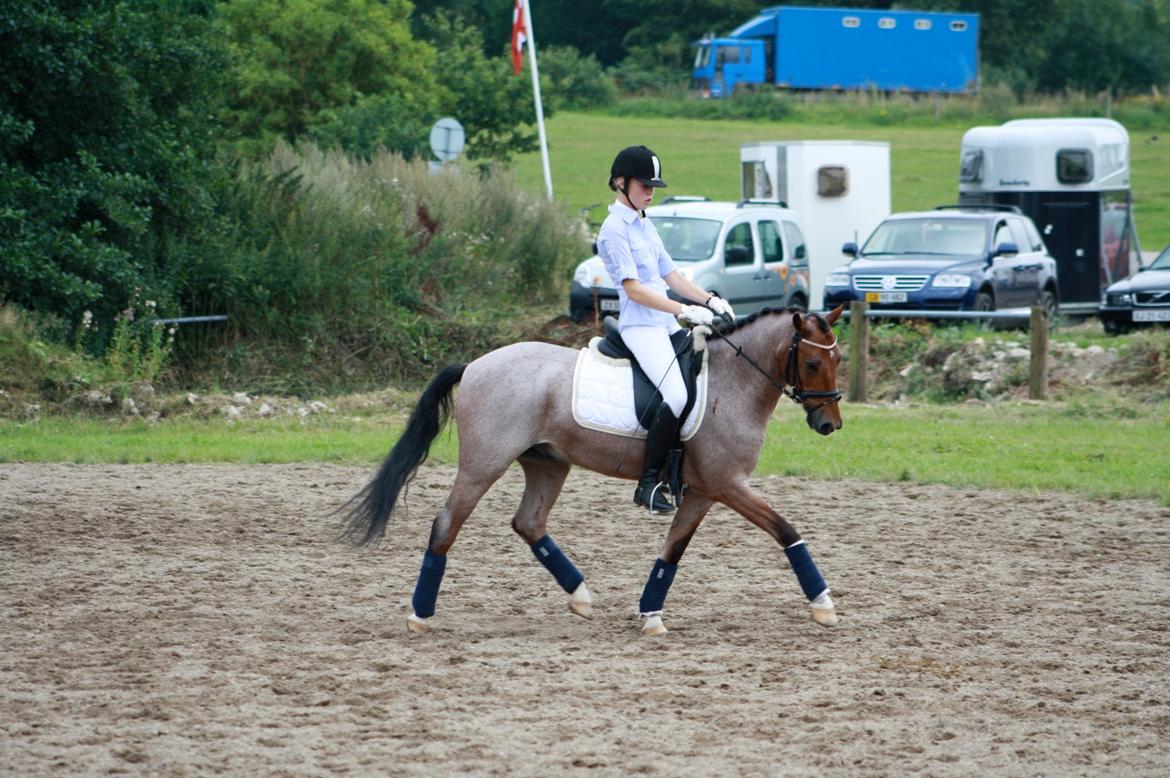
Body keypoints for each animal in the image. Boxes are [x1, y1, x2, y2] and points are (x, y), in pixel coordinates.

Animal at [341, 304, 847, 636]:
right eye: (812, 361)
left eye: (837, 359)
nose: (830, 425)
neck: (732, 381)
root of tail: (475, 365)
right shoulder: (728, 484)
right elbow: (786, 530)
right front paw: (823, 605)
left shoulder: (705, 491)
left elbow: (672, 552)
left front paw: (650, 614)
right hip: (483, 465)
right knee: (447, 524)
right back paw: (420, 615)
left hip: (547, 464)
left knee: (528, 522)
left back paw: (580, 596)